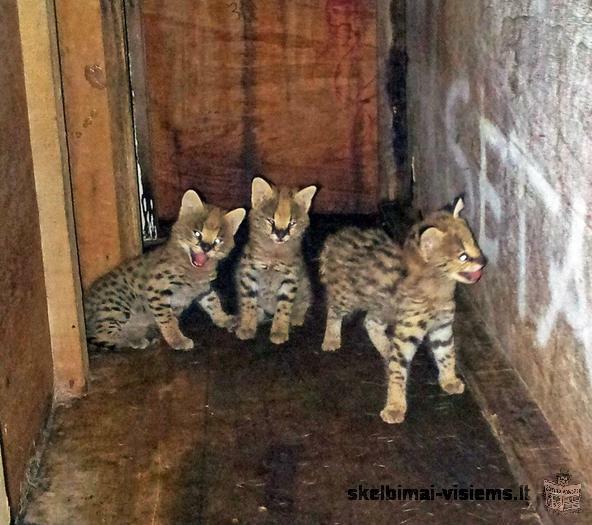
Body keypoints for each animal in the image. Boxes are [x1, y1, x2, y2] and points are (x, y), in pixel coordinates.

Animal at [84, 190, 246, 350]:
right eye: (197, 233)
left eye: (218, 240)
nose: (206, 247)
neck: (194, 270)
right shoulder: (156, 290)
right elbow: (168, 319)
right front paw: (177, 340)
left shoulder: (204, 288)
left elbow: (214, 302)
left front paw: (223, 318)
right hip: (117, 305)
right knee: (101, 334)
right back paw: (135, 339)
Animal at [237, 177, 320, 344]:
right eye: (271, 220)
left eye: (292, 223)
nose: (281, 235)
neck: (274, 254)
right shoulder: (248, 274)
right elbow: (248, 303)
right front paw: (247, 327)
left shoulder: (290, 278)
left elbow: (284, 307)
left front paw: (280, 331)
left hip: (304, 285)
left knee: (304, 302)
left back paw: (296, 317)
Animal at [322, 196, 488, 422]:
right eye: (462, 256)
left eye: (475, 244)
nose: (484, 261)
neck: (438, 286)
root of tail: (335, 238)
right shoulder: (409, 331)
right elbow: (399, 369)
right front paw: (395, 406)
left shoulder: (442, 326)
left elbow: (446, 353)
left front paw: (449, 379)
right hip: (347, 296)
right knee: (333, 310)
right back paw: (331, 339)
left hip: (382, 305)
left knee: (370, 322)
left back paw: (386, 348)